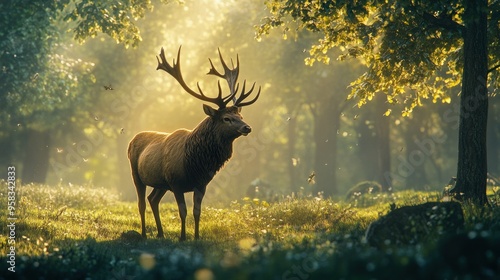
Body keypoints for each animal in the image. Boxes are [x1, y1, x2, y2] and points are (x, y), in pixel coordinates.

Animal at [128, 46, 262, 241]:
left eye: (241, 116)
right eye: (226, 118)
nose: (247, 127)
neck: (196, 163)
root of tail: (132, 139)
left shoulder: (201, 184)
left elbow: (197, 212)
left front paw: (197, 237)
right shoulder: (175, 182)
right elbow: (182, 211)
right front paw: (183, 237)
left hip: (161, 183)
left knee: (153, 199)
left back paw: (160, 233)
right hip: (136, 174)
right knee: (141, 203)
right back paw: (145, 234)